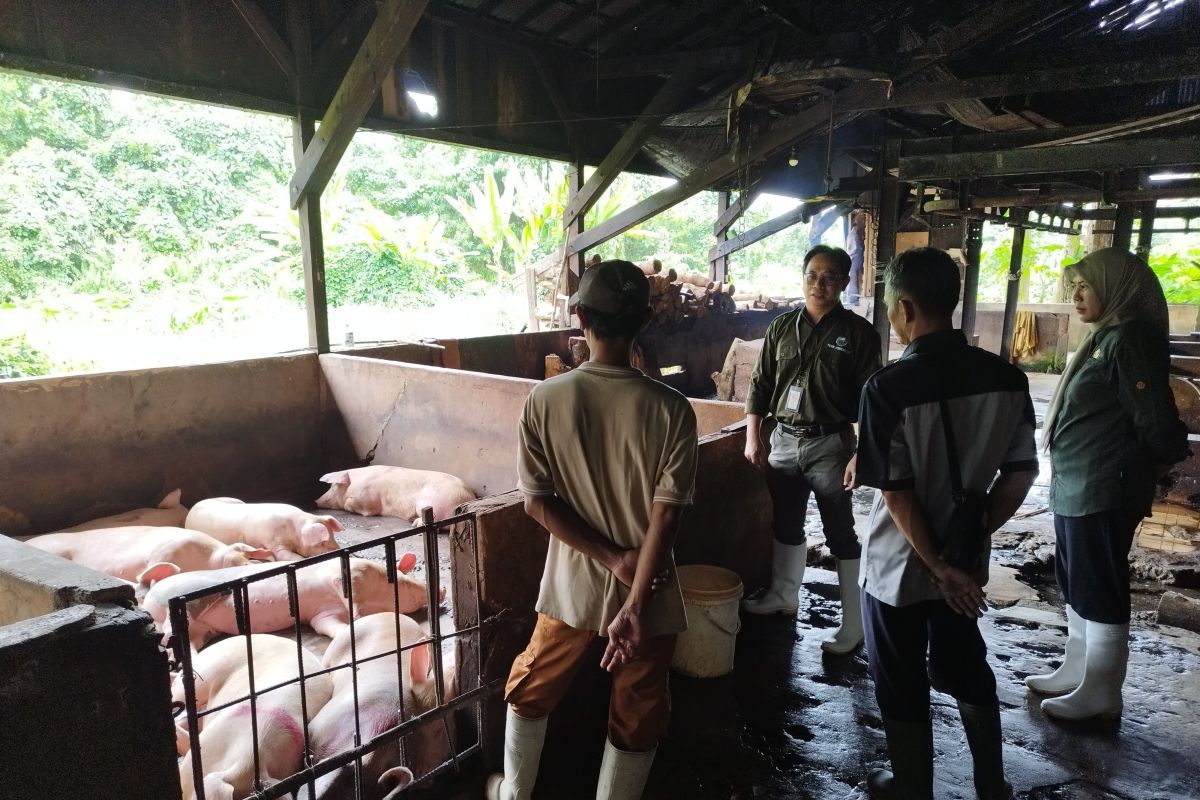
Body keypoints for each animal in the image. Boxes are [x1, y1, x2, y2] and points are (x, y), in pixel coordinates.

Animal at [316, 462, 475, 525]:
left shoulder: (368, 500)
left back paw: (415, 523)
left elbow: (355, 505)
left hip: (429, 502)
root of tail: (465, 499)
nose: (316, 501)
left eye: (333, 486)